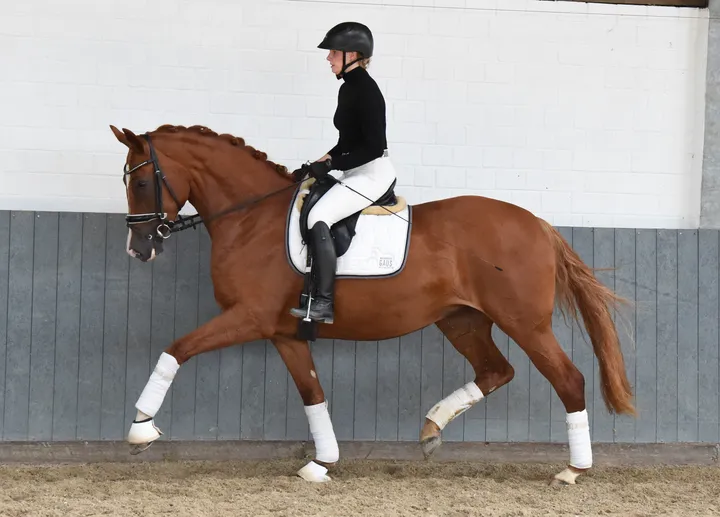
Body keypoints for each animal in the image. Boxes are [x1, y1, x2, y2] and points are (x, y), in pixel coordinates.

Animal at [108, 123, 636, 486]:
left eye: (140, 182)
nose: (138, 248)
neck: (252, 219)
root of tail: (540, 225)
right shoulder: (283, 332)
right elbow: (313, 393)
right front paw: (321, 464)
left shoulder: (248, 318)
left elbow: (176, 349)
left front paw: (141, 430)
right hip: (462, 321)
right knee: (495, 371)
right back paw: (431, 428)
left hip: (525, 323)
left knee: (568, 379)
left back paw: (572, 470)